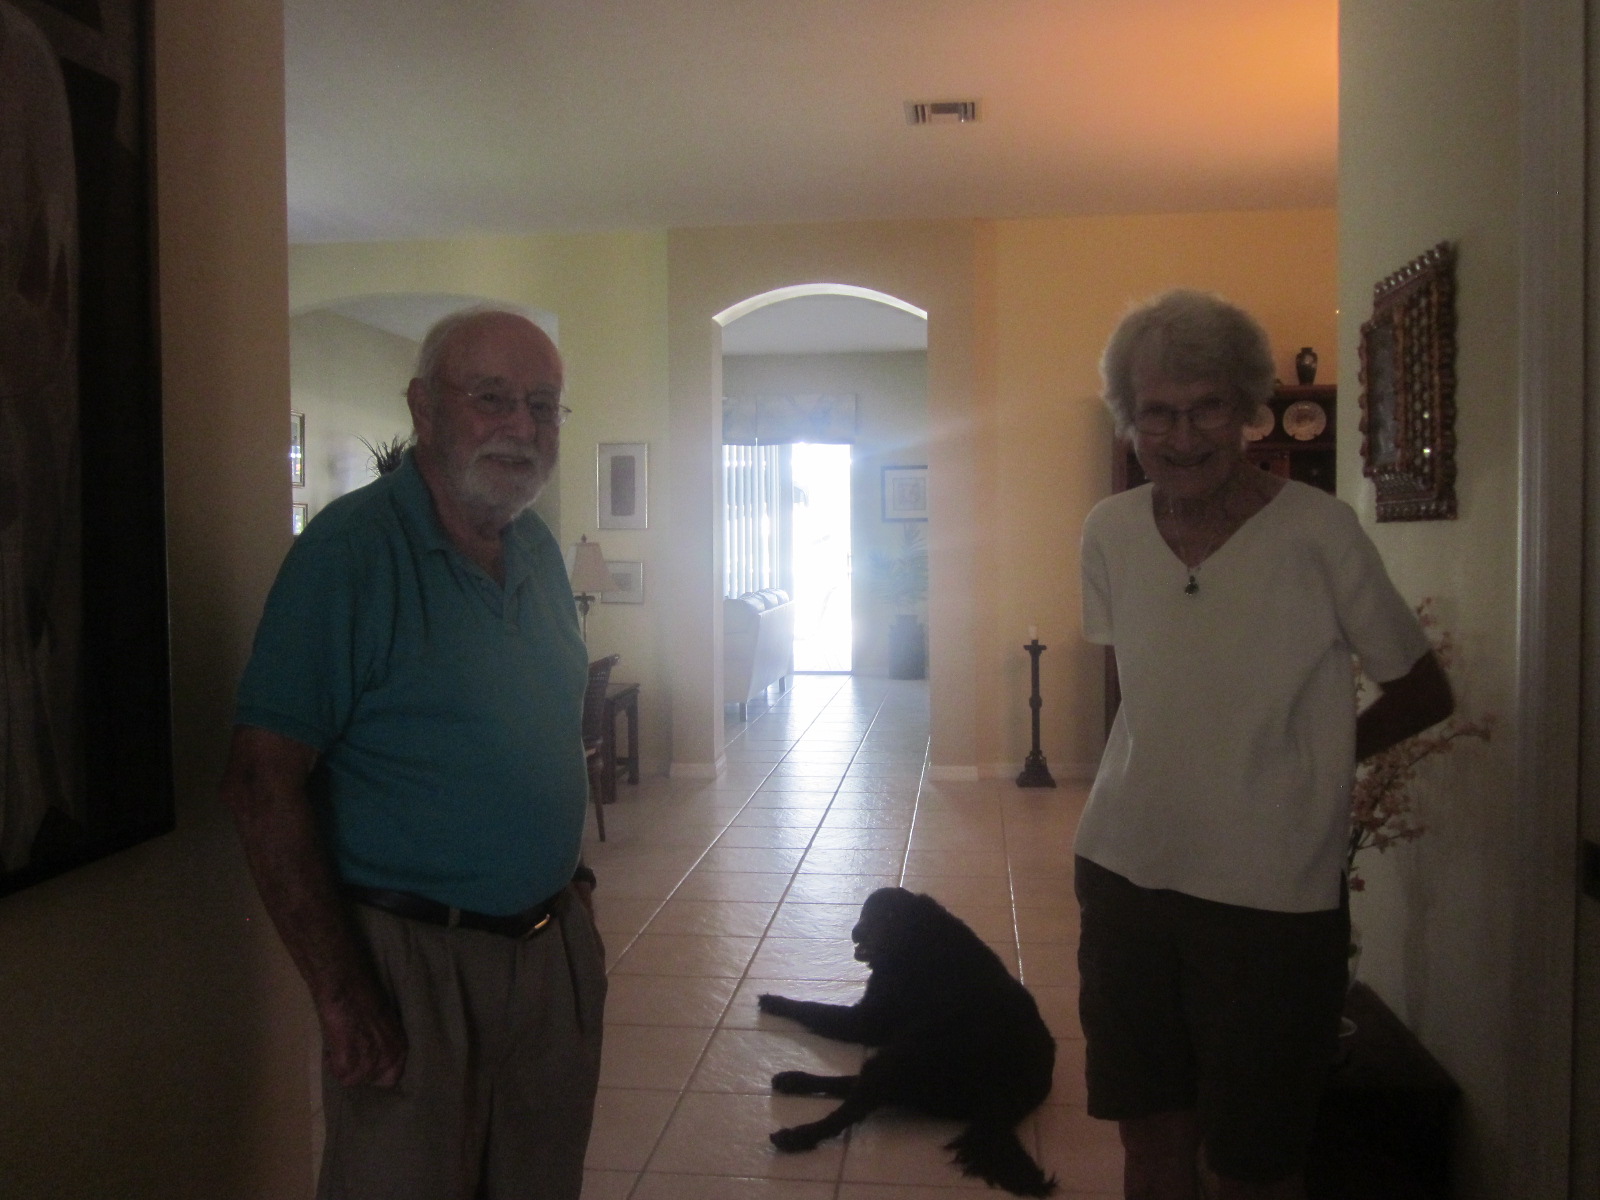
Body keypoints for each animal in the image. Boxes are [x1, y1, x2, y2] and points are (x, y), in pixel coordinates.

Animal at [758, 886, 1058, 1196]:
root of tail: (1012, 1101)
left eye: (886, 917)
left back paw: (797, 1135)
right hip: (901, 1063)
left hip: (903, 1059)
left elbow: (813, 1008)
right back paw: (793, 1080)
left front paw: (776, 1002)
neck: (917, 943)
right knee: (854, 1086)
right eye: (866, 912)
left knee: (848, 1110)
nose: (856, 932)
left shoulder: (865, 1021)